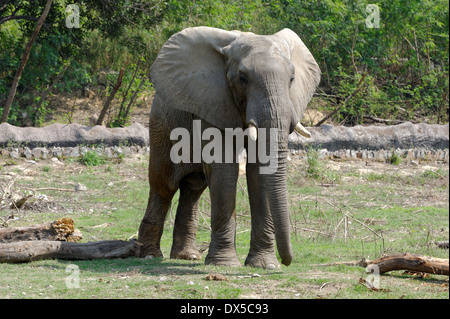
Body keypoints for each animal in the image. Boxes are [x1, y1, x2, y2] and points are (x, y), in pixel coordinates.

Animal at [138, 26, 320, 268]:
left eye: (291, 79)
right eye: (243, 78)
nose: (287, 261)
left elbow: (259, 171)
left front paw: (264, 265)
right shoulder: (213, 100)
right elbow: (224, 168)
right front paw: (224, 264)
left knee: (194, 187)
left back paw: (188, 256)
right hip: (161, 123)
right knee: (164, 185)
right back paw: (149, 254)